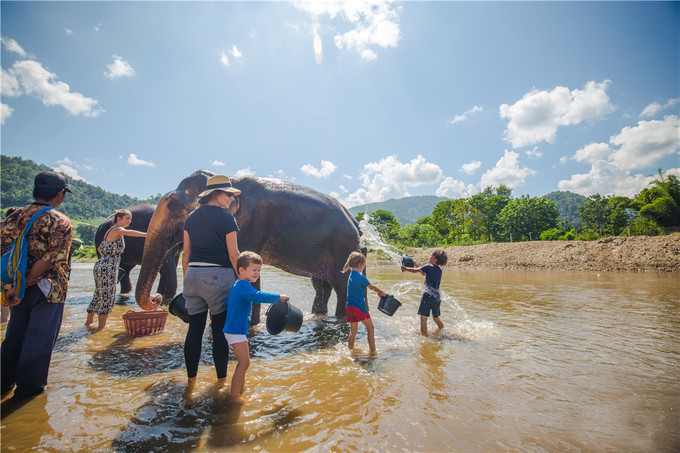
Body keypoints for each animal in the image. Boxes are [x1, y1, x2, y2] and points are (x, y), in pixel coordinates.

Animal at [132, 170, 362, 322]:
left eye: (172, 204)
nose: (156, 299)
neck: (230, 179)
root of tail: (354, 221)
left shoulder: (249, 223)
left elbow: (240, 262)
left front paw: (248, 325)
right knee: (321, 285)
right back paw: (318, 316)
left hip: (343, 247)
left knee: (341, 284)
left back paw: (342, 319)